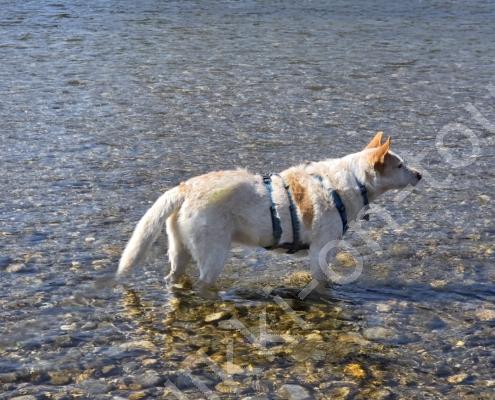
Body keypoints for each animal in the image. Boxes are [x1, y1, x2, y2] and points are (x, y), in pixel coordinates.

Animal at [117, 132, 421, 298]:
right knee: (203, 284)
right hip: (213, 255)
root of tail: (184, 187)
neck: (351, 181)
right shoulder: (320, 251)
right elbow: (322, 282)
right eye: (400, 165)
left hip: (179, 251)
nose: (419, 174)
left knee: (173, 279)